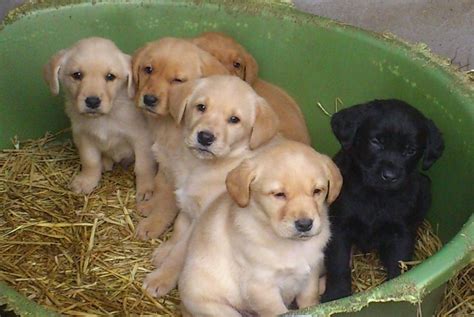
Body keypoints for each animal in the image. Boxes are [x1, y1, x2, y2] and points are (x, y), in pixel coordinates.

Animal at [43, 36, 156, 200]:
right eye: (77, 75)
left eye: (110, 76)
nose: (92, 101)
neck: (104, 118)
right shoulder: (83, 137)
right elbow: (90, 161)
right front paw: (87, 181)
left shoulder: (142, 139)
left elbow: (143, 166)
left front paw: (147, 188)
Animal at [131, 37, 229, 237]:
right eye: (148, 69)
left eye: (178, 80)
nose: (149, 99)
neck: (170, 125)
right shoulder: (165, 164)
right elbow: (160, 188)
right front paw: (150, 206)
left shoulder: (180, 172)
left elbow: (167, 201)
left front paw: (153, 224)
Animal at [143, 75, 280, 298]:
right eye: (201, 107)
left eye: (234, 119)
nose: (205, 137)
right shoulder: (188, 207)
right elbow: (178, 230)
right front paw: (165, 250)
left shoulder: (201, 220)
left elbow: (180, 253)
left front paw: (161, 278)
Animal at [179, 140, 340, 316]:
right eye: (279, 194)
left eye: (317, 191)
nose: (305, 224)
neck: (292, 245)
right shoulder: (261, 287)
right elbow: (279, 311)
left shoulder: (311, 273)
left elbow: (310, 303)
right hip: (218, 308)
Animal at [322, 99, 444, 302]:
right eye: (376, 142)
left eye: (410, 150)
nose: (390, 176)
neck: (376, 196)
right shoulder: (339, 227)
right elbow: (338, 265)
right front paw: (336, 295)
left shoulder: (401, 233)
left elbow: (398, 265)